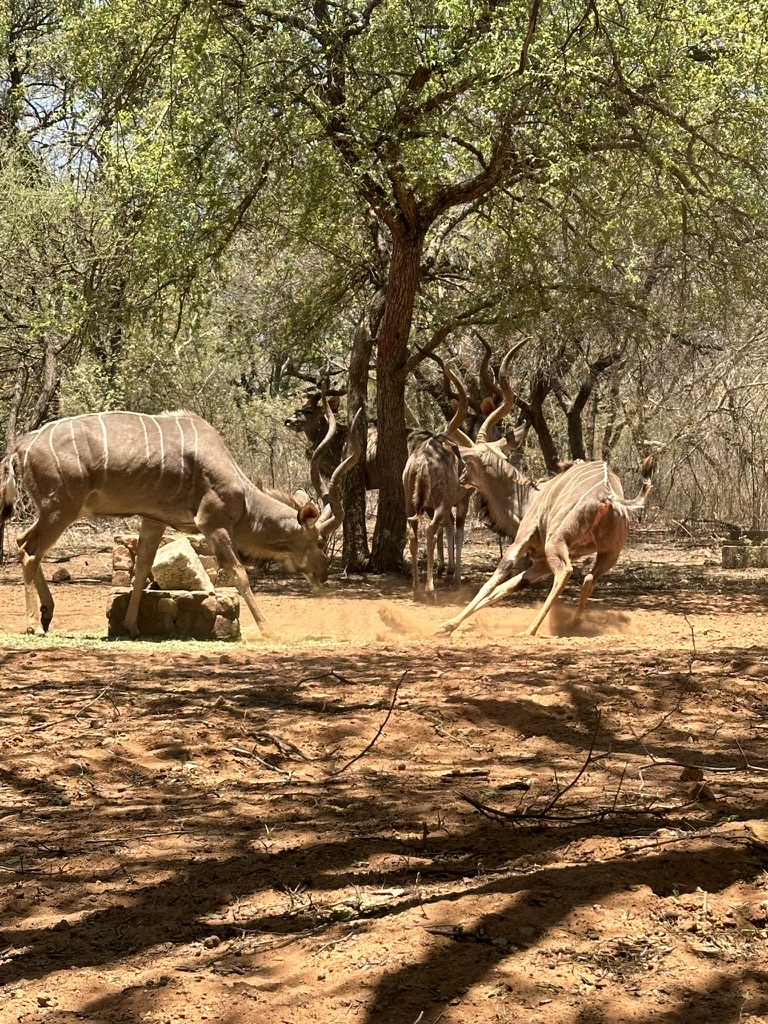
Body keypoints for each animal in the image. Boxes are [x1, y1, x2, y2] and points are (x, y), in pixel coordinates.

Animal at [0, 405, 360, 630]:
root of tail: (21, 446)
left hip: (54, 511)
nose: (323, 574)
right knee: (29, 550)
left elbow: (142, 568)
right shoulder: (213, 525)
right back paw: (33, 624)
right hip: (61, 509)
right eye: (320, 540)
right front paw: (268, 628)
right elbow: (240, 574)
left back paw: (47, 614)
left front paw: (131, 626)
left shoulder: (154, 518)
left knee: (22, 542)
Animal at [438, 454, 655, 630]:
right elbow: (507, 587)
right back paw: (572, 624)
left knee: (565, 572)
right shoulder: (542, 563)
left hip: (556, 542)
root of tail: (608, 497)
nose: (461, 479)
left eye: (468, 464)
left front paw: (448, 624)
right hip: (609, 553)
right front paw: (451, 625)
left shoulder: (521, 541)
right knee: (589, 579)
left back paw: (531, 630)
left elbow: (494, 580)